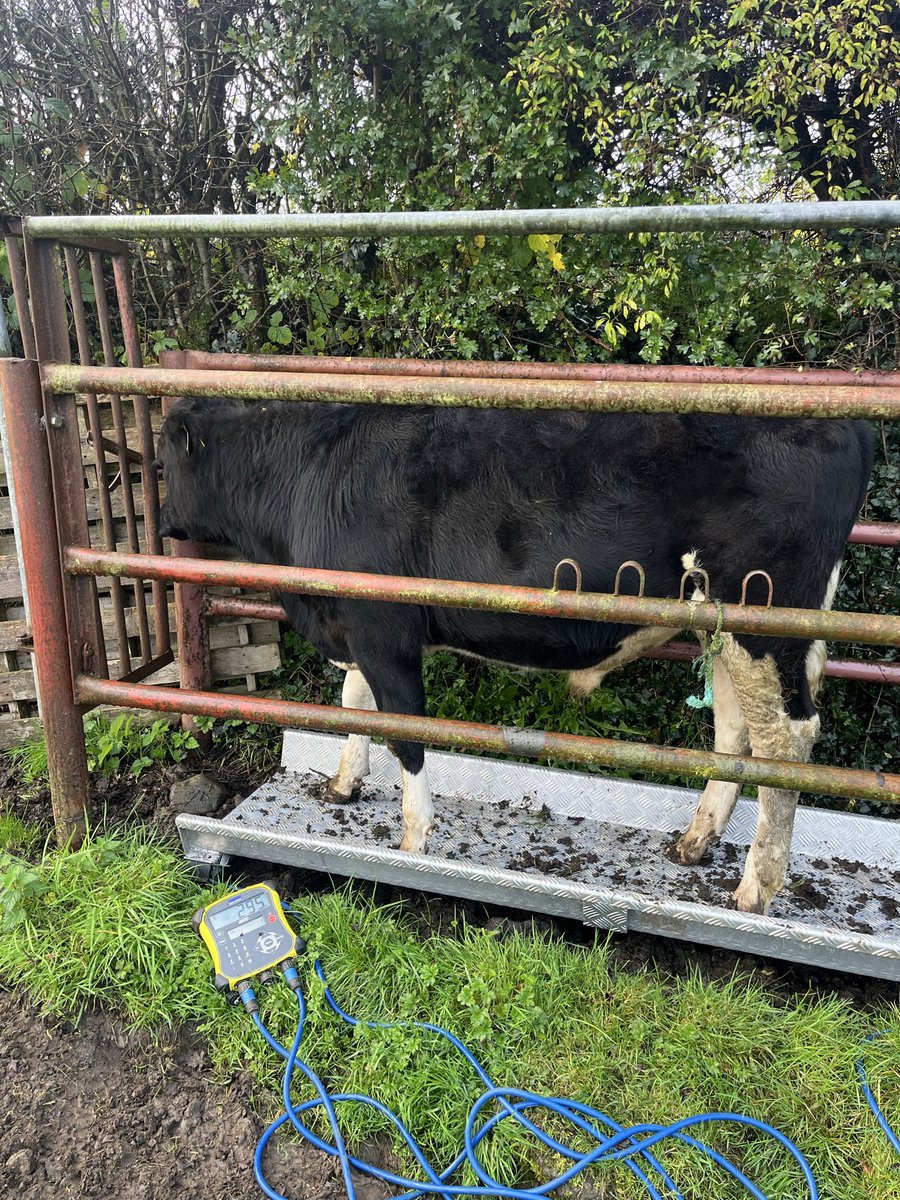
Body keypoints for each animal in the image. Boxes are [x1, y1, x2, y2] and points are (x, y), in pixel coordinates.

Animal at [157, 395, 874, 915]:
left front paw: (413, 841)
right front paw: (342, 785)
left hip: (765, 618)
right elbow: (356, 707)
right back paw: (694, 844)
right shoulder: (357, 622)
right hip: (720, 626)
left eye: (162, 459)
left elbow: (405, 731)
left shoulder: (383, 630)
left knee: (785, 737)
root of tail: (850, 427)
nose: (158, 522)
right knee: (735, 731)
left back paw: (756, 888)